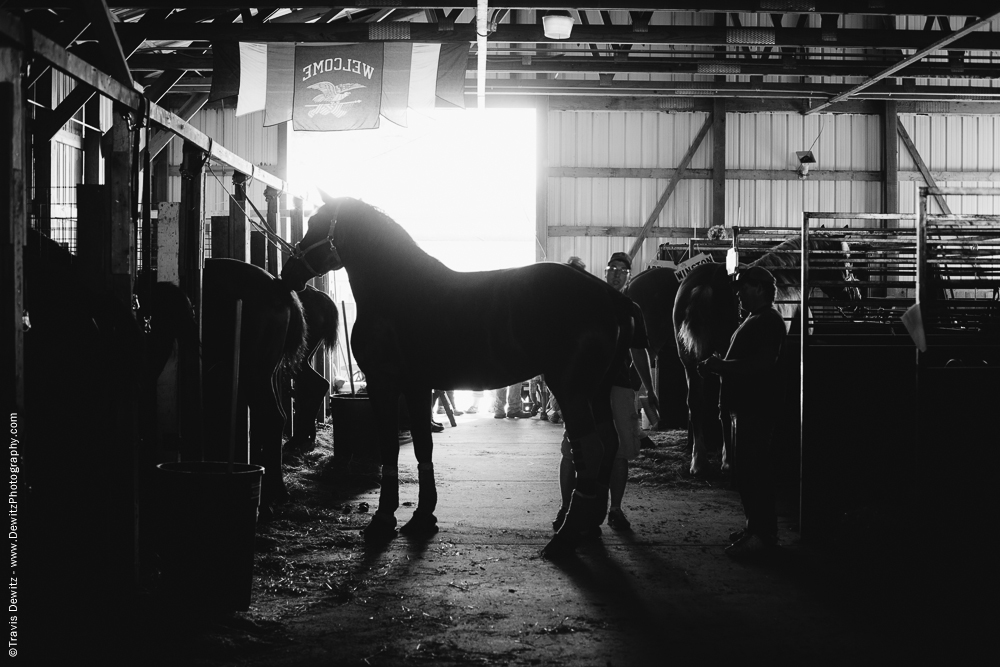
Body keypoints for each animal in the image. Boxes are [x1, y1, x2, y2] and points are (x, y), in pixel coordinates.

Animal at [280, 194, 632, 560]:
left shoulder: (384, 384)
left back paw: (565, 537)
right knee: (610, 442)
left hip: (570, 389)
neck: (398, 290)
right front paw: (423, 516)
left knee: (590, 448)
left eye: (316, 223)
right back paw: (588, 525)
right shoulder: (418, 387)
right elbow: (423, 445)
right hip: (597, 391)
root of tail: (608, 295)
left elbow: (390, 447)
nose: (287, 273)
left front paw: (382, 519)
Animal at [672, 235, 860, 474]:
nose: (856, 296)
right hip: (725, 357)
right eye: (847, 261)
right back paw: (727, 460)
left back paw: (699, 462)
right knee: (724, 404)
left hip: (689, 360)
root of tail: (707, 282)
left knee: (696, 404)